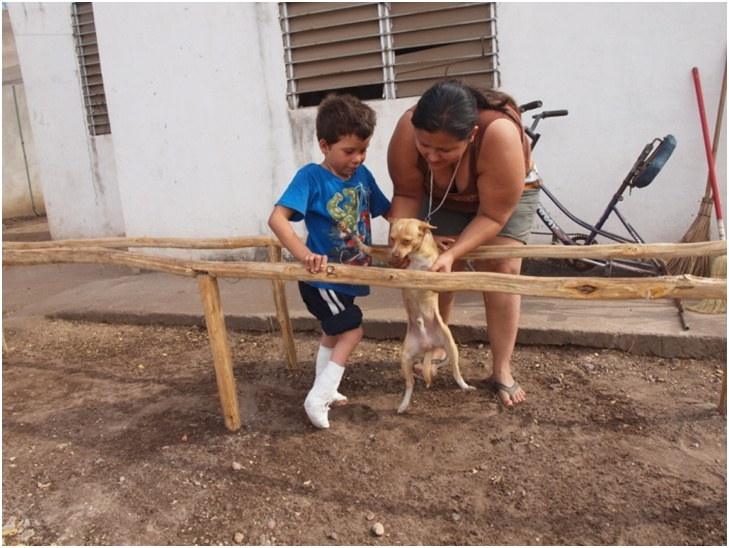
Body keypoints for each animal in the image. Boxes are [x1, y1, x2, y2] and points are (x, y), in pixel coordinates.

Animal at [338, 217, 474, 412]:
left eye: (407, 241)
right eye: (392, 239)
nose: (396, 255)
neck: (415, 254)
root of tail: (428, 345)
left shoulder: (434, 269)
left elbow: (434, 274)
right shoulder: (390, 256)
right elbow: (371, 249)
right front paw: (357, 241)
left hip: (451, 347)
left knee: (455, 371)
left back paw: (464, 386)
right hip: (405, 357)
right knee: (410, 384)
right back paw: (403, 405)